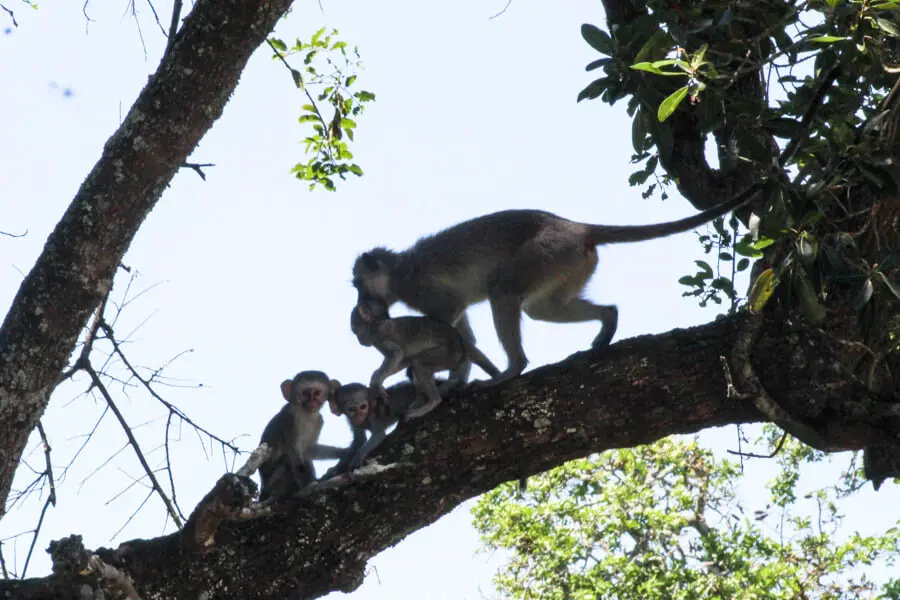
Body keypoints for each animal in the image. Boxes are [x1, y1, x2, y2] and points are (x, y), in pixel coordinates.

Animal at [258, 370, 350, 502]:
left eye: (317, 393)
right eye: (305, 393)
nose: (312, 402)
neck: (306, 414)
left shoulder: (318, 421)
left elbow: (309, 450)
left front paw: (344, 452)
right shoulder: (290, 419)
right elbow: (294, 452)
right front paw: (308, 487)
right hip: (273, 483)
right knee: (288, 461)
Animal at [348, 294, 500, 418]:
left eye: (356, 331)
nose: (360, 341)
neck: (377, 324)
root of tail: (461, 345)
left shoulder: (380, 335)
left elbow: (396, 353)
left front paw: (377, 380)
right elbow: (404, 360)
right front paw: (376, 376)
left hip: (448, 354)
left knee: (420, 364)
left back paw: (432, 402)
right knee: (416, 365)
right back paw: (419, 401)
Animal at [352, 193, 752, 390]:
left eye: (357, 284)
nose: (360, 301)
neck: (397, 272)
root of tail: (576, 228)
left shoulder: (421, 290)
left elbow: (450, 320)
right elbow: (464, 332)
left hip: (547, 252)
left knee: (504, 294)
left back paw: (513, 369)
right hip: (569, 262)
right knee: (542, 308)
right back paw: (607, 320)